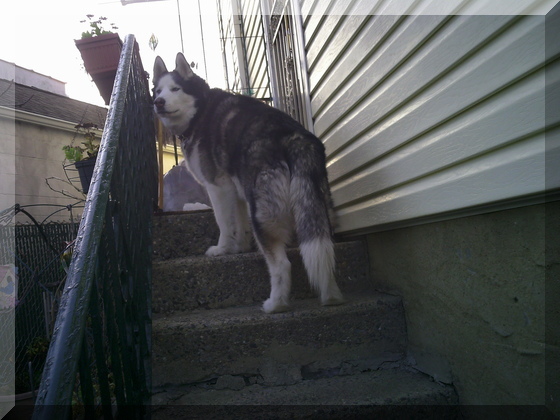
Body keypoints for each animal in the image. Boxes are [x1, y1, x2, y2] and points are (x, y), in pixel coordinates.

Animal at [154, 52, 346, 314]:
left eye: (175, 89)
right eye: (157, 90)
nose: (158, 102)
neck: (200, 110)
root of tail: (295, 138)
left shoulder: (218, 188)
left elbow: (224, 224)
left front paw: (222, 249)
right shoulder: (237, 192)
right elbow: (239, 223)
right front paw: (240, 248)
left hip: (263, 215)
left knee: (282, 265)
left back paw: (276, 305)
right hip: (317, 208)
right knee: (325, 253)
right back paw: (331, 296)